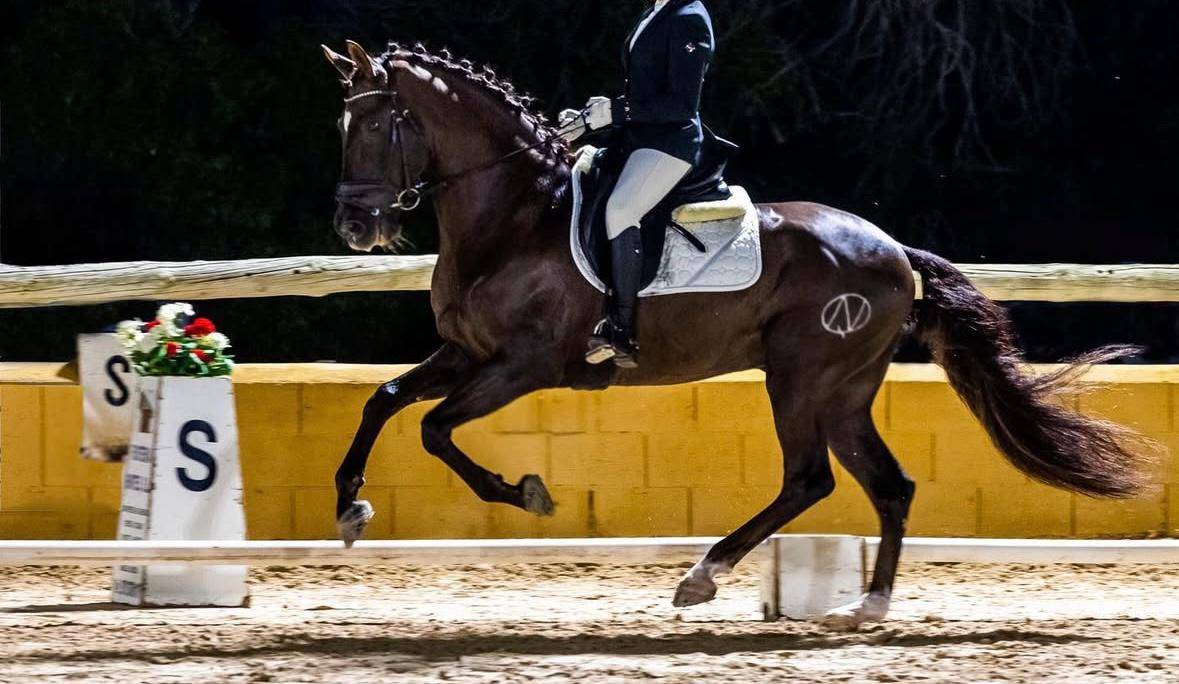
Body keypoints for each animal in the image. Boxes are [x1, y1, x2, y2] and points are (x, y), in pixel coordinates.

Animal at [320, 40, 1149, 628]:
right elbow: (383, 400)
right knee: (886, 484)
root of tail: (891, 248)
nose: (355, 226)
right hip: (844, 389)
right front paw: (352, 509)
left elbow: (432, 428)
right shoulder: (467, 352)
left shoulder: (524, 364)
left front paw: (523, 492)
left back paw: (703, 576)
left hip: (800, 375)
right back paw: (866, 606)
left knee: (809, 479)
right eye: (343, 126)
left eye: (377, 125)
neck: (517, 215)